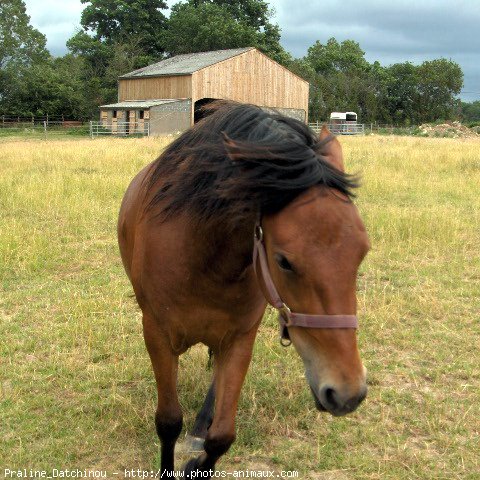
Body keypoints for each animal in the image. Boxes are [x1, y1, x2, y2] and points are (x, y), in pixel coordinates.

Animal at [118, 103, 370, 474]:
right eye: (284, 261)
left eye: (362, 251)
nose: (348, 392)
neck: (202, 256)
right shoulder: (157, 335)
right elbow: (168, 422)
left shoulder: (239, 339)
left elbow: (221, 437)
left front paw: (197, 460)